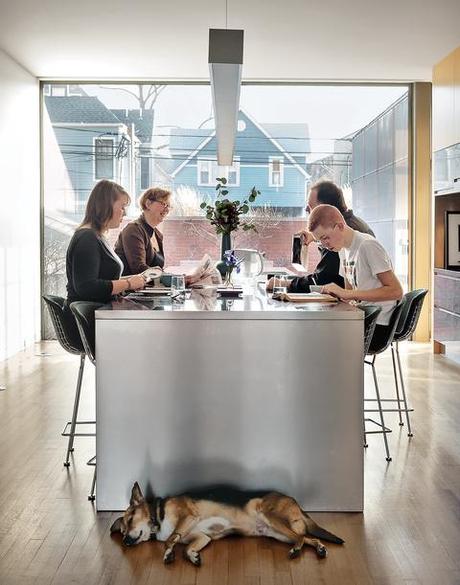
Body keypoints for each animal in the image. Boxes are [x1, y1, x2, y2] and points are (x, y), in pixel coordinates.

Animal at [109, 480, 344, 564]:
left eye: (131, 519)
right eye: (122, 532)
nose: (126, 542)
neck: (158, 515)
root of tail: (295, 501)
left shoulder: (188, 516)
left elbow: (170, 540)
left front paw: (168, 553)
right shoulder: (201, 537)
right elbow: (186, 547)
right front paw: (193, 556)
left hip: (272, 519)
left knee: (301, 538)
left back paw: (296, 550)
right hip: (277, 533)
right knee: (307, 538)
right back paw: (320, 548)